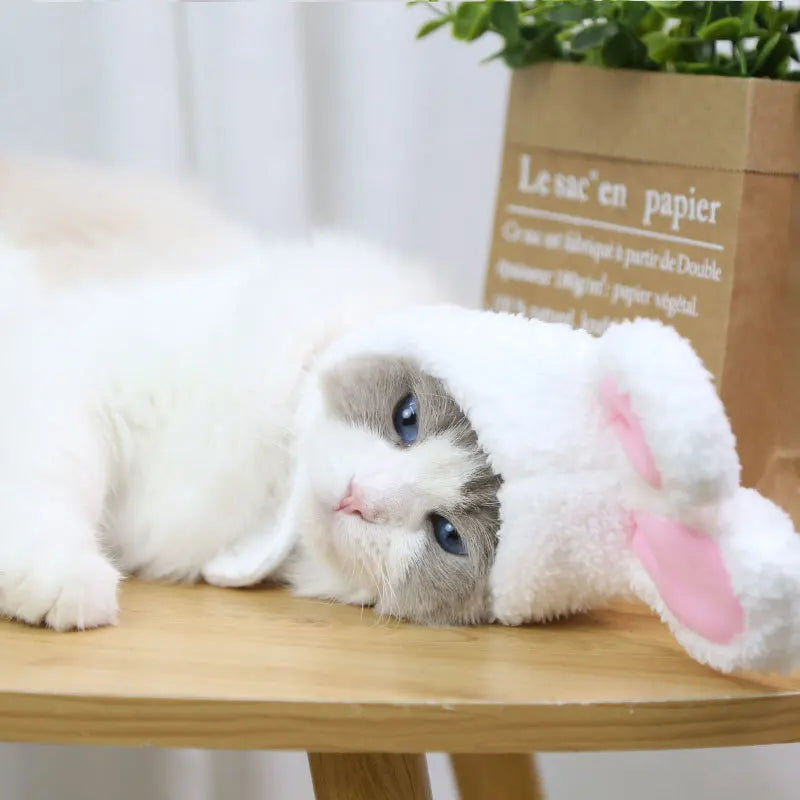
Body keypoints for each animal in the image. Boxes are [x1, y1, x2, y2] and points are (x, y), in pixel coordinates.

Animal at [0, 156, 500, 632]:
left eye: (448, 535)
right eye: (407, 418)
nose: (358, 497)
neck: (270, 478)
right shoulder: (81, 379)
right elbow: (52, 479)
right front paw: (60, 576)